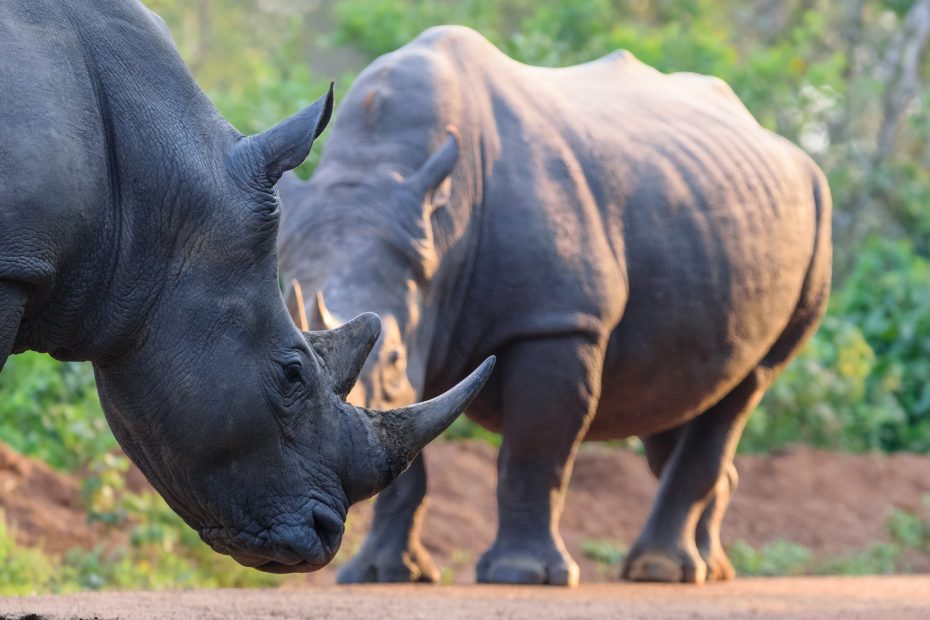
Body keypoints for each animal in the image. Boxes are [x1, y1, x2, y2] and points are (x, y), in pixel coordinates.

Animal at [278, 26, 832, 585]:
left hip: (816, 210)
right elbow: (405, 456)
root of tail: (784, 146)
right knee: (681, 394)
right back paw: (708, 568)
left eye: (391, 359)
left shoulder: (558, 320)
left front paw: (521, 573)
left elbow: (535, 448)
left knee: (748, 385)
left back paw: (661, 570)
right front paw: (381, 574)